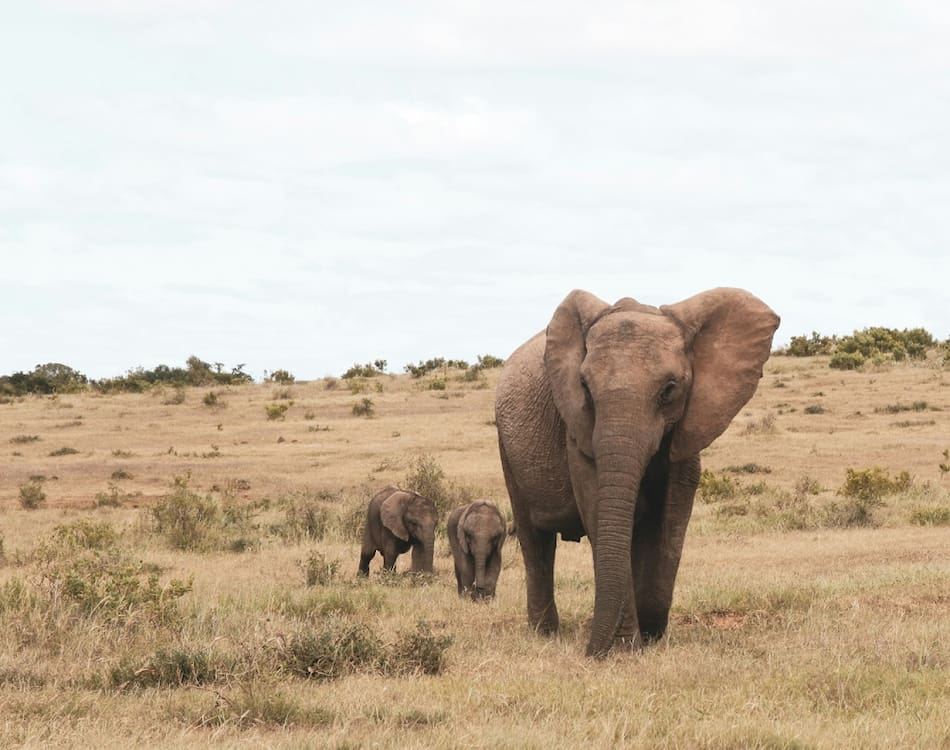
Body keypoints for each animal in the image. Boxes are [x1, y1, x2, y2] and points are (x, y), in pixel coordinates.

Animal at [495, 287, 779, 657]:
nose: (590, 651)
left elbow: (672, 517)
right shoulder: (577, 427)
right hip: (506, 444)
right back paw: (545, 634)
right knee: (535, 542)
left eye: (669, 389)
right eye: (584, 386)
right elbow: (598, 505)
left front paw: (650, 633)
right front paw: (627, 647)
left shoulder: (688, 426)